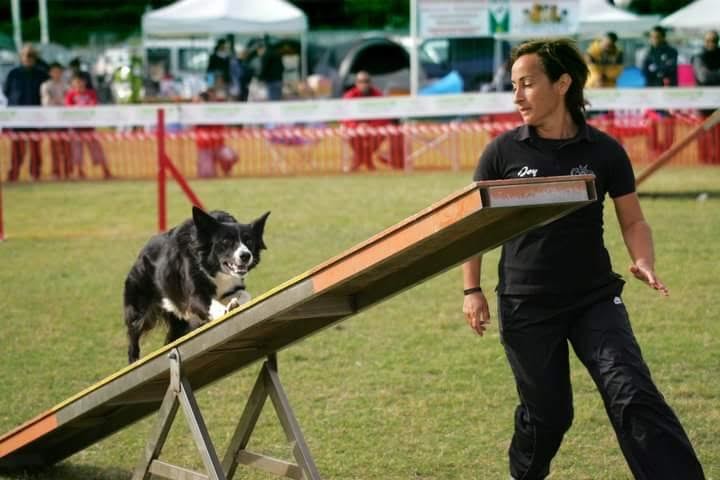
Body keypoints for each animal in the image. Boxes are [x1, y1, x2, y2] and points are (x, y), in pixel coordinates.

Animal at [124, 207, 270, 364]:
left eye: (249, 241)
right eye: (226, 241)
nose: (245, 255)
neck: (214, 269)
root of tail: (141, 254)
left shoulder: (232, 287)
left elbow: (245, 295)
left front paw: (233, 305)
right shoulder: (194, 295)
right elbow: (211, 304)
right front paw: (225, 311)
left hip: (179, 322)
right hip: (139, 310)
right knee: (133, 335)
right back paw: (134, 361)